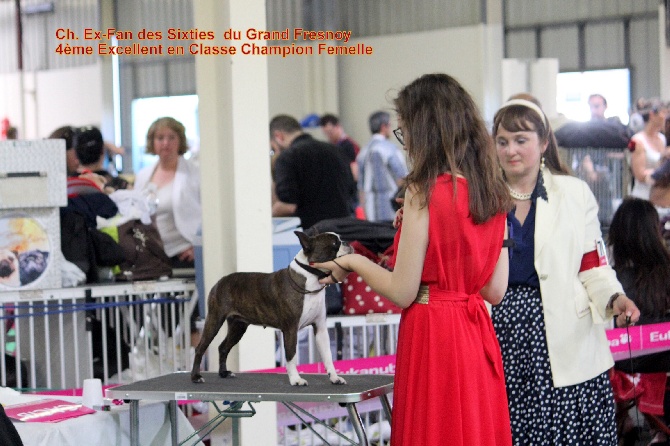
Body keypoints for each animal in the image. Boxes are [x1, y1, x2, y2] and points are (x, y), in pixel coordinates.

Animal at [192, 232, 354, 386]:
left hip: (238, 327)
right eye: (334, 244)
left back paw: (223, 373)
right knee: (200, 347)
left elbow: (327, 356)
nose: (347, 242)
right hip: (215, 319)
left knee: (223, 347)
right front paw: (296, 380)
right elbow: (291, 356)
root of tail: (220, 281)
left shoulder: (320, 329)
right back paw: (196, 377)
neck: (311, 278)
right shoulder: (290, 329)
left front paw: (334, 378)